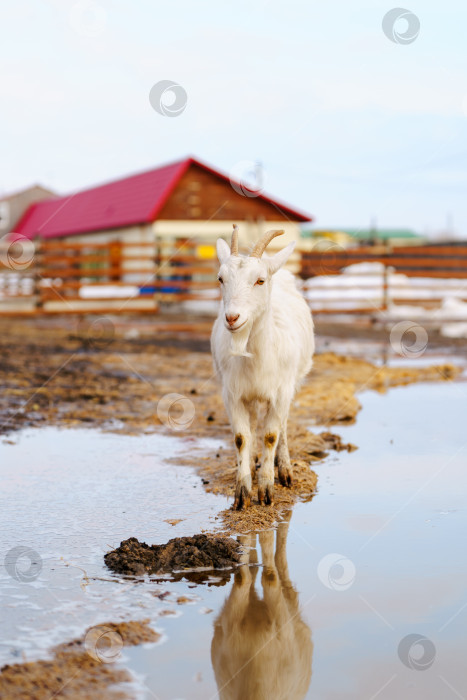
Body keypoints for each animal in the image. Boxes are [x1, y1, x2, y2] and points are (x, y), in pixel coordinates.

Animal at [211, 224, 314, 508]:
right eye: (221, 279)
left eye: (259, 280)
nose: (232, 318)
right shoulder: (232, 393)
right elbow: (241, 437)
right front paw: (242, 492)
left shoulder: (281, 392)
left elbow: (271, 435)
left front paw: (266, 490)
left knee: (282, 426)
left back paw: (284, 468)